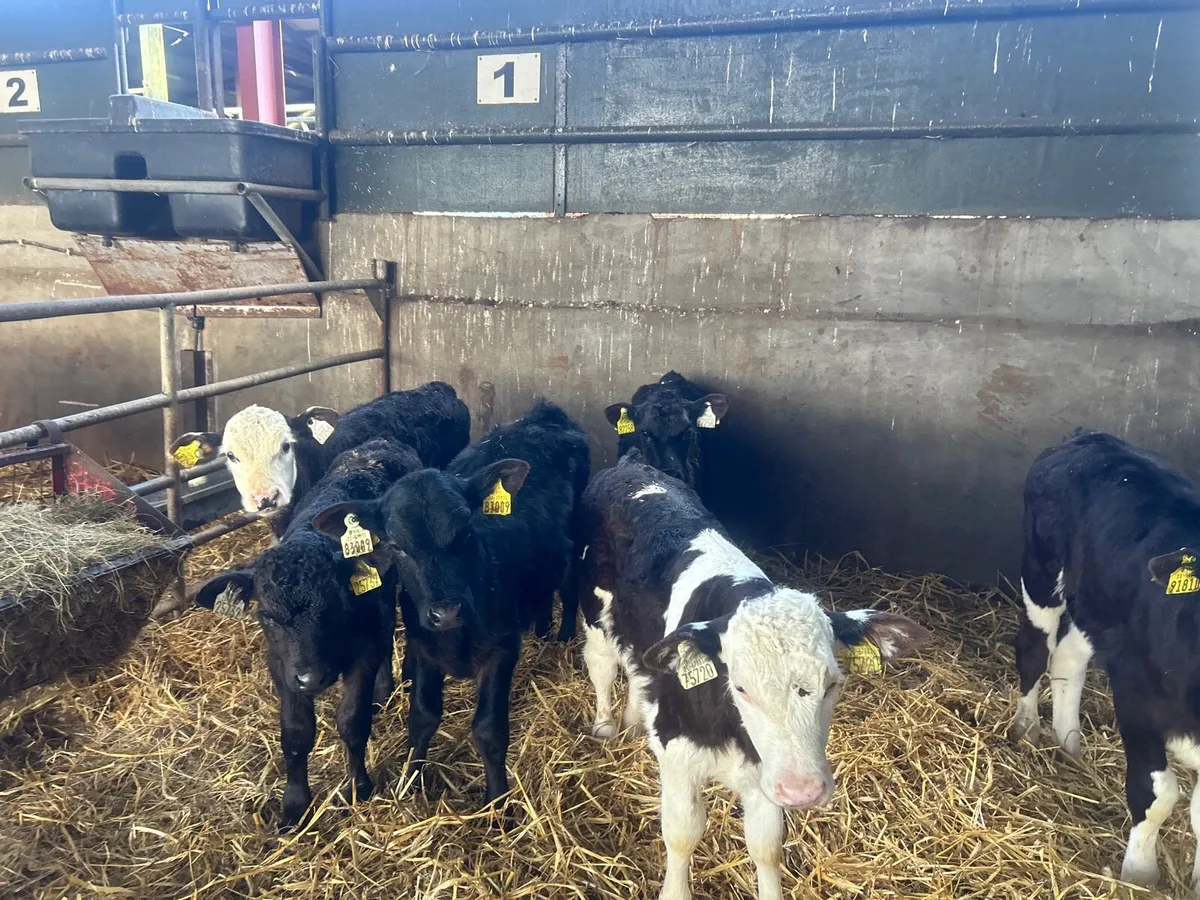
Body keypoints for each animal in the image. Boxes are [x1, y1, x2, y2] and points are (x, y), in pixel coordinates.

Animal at [192, 438, 422, 827]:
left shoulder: (363, 652)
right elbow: (296, 733)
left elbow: (353, 721)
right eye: (267, 616)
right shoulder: (281, 665)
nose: (311, 678)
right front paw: (295, 804)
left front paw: (358, 786)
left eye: (336, 606)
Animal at [311, 399, 590, 808]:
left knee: (569, 586)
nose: (447, 613)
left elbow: (489, 730)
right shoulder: (424, 647)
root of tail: (543, 413)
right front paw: (410, 780)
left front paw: (497, 802)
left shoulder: (502, 649)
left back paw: (565, 634)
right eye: (396, 546)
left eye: (468, 530)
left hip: (574, 534)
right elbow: (423, 718)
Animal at [578, 454, 930, 900]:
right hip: (594, 612)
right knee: (603, 665)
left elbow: (766, 845)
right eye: (741, 687)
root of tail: (631, 464)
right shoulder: (679, 759)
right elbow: (682, 833)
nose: (803, 791)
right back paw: (606, 725)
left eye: (832, 683)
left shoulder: (766, 770)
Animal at [1009, 429, 1200, 892]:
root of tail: (1091, 437)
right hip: (1042, 571)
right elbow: (1157, 794)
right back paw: (1026, 727)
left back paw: (1069, 743)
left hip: (1097, 607)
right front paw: (1139, 876)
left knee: (1068, 659)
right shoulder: (1136, 692)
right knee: (1034, 650)